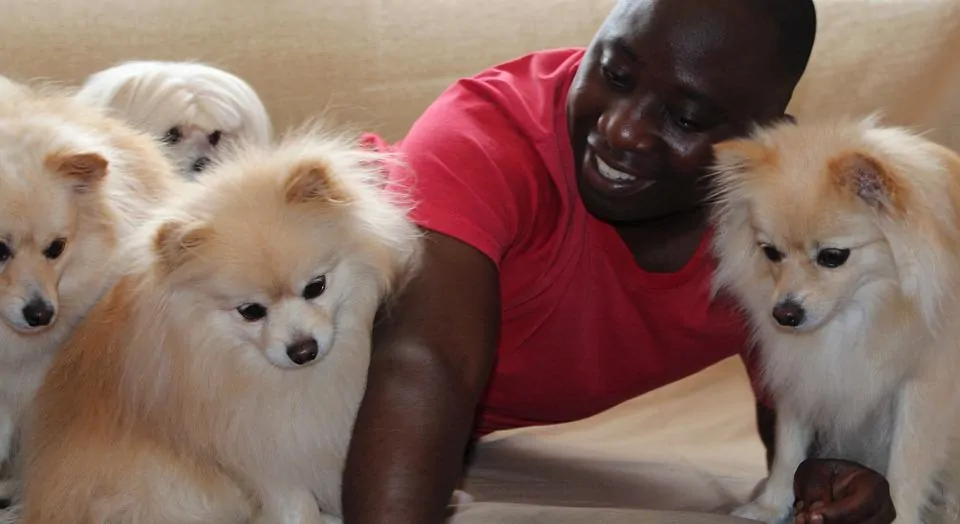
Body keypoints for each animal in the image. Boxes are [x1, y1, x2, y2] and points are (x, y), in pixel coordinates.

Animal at [708, 115, 960, 524]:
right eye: (771, 253)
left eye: (832, 256)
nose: (785, 314)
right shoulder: (803, 374)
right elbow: (788, 448)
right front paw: (770, 506)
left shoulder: (924, 388)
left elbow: (907, 465)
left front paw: (900, 515)